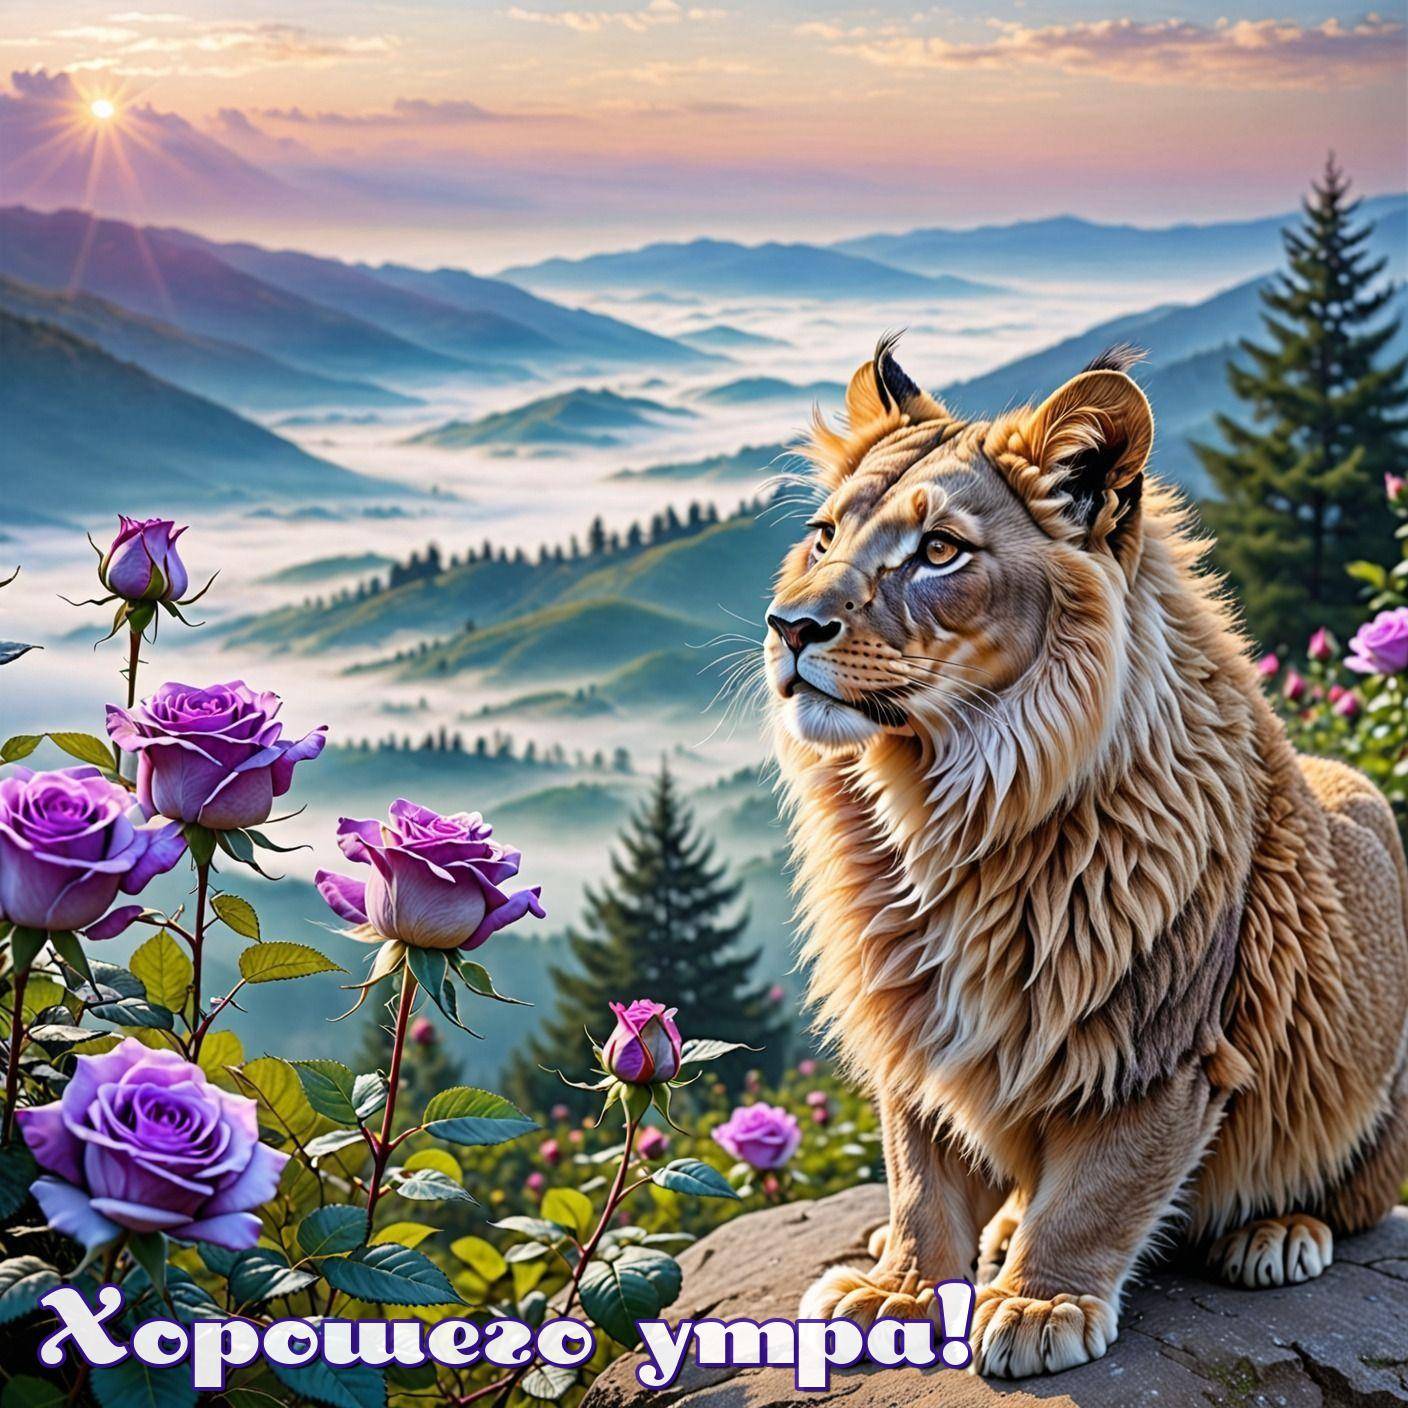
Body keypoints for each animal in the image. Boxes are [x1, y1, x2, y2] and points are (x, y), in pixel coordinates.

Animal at [765, 337, 1408, 1378]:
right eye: (825, 538)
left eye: (938, 551)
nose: (790, 627)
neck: (947, 806)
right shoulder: (912, 1014)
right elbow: (918, 1175)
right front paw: (899, 1293)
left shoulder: (1161, 1042)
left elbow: (1100, 1189)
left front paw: (1040, 1304)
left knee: (1349, 1198)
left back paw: (1275, 1235)